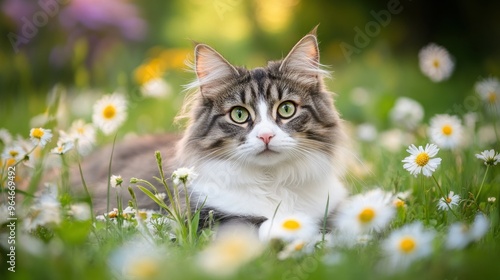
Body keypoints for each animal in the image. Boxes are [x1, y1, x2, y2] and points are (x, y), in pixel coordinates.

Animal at [75, 26, 348, 230]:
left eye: (286, 109)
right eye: (239, 114)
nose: (266, 136)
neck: (272, 182)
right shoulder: (202, 217)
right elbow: (257, 223)